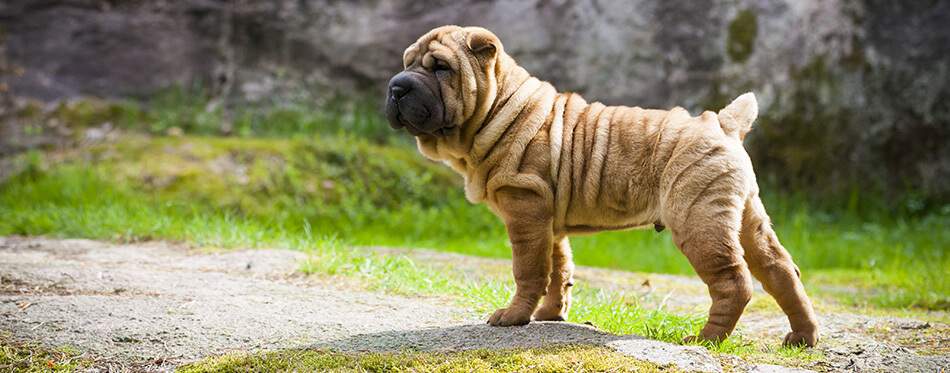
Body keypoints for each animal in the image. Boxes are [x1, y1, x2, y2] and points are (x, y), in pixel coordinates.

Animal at [384, 25, 820, 346]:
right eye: (406, 64)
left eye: (441, 67)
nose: (396, 87)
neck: (498, 109)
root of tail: (723, 122)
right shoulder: (547, 219)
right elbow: (558, 269)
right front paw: (551, 315)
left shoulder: (524, 207)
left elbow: (528, 270)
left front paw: (514, 317)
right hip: (746, 215)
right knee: (782, 271)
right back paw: (802, 337)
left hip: (698, 219)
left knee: (734, 281)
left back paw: (705, 339)